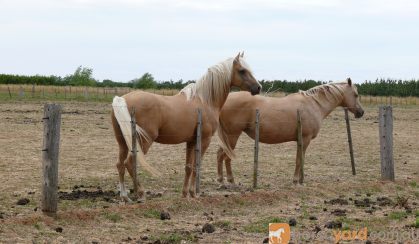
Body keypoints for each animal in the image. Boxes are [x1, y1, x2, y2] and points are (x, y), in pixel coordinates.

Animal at [111, 53, 262, 200]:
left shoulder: (191, 141)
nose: (258, 87)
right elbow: (196, 166)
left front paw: (184, 194)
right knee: (129, 163)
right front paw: (194, 193)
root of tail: (122, 99)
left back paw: (124, 196)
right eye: (242, 70)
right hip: (143, 141)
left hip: (122, 142)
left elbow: (188, 167)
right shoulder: (204, 140)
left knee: (120, 164)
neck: (205, 100)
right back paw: (141, 193)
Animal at [218, 78, 366, 185]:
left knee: (220, 154)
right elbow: (299, 159)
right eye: (356, 94)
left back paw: (221, 180)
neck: (314, 104)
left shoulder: (300, 140)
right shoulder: (305, 139)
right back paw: (230, 180)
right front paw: (297, 180)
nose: (361, 112)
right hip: (232, 136)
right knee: (226, 156)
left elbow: (299, 159)